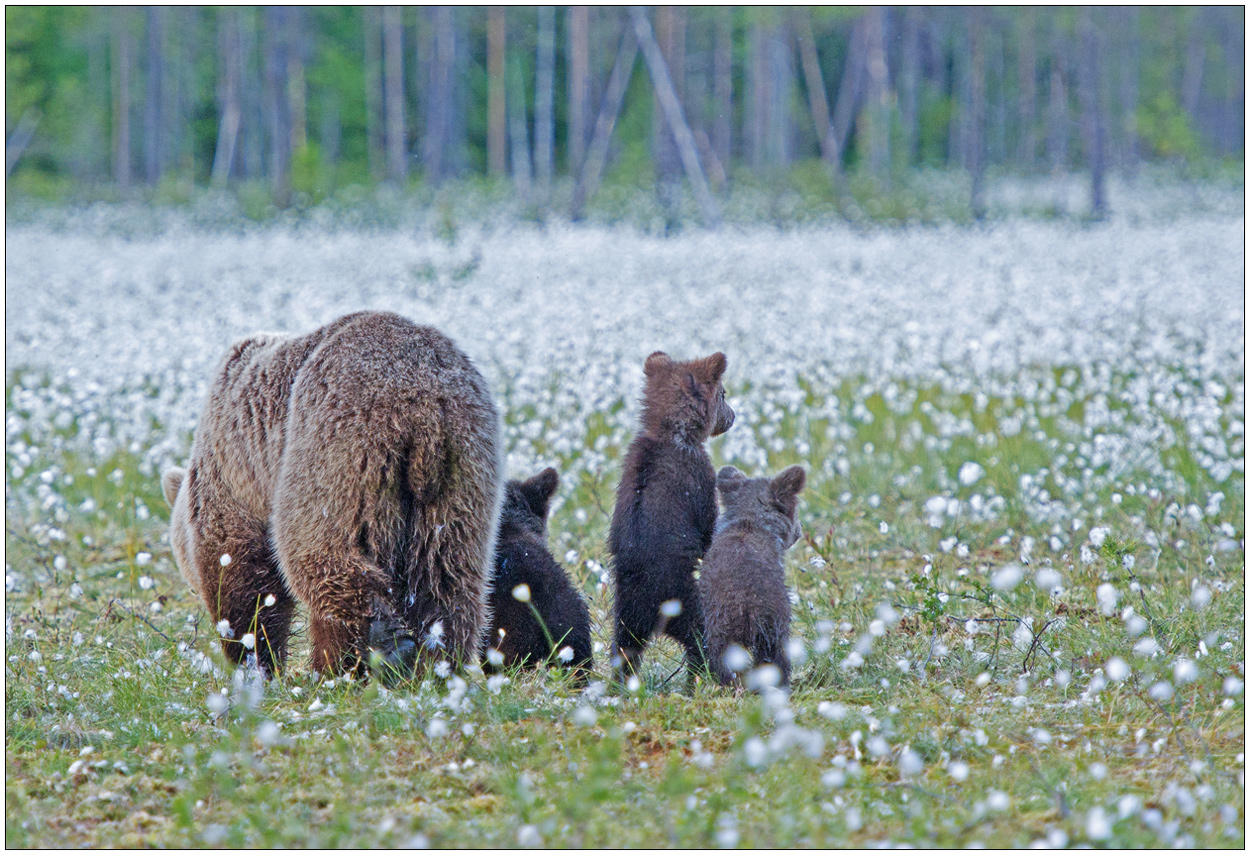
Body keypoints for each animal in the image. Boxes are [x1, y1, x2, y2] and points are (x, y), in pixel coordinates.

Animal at [161, 310, 502, 680]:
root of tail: (423, 403)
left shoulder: (236, 464)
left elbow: (240, 566)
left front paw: (253, 656)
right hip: (464, 458)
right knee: (446, 570)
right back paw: (440, 662)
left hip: (338, 442)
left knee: (319, 547)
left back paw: (353, 659)